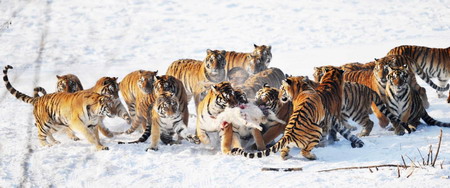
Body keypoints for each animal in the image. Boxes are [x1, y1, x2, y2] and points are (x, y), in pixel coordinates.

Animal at [232, 67, 366, 160]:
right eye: (259, 95)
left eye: (265, 99)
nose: (256, 102)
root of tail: (290, 135)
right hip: (317, 131)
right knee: (304, 151)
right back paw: (313, 155)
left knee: (285, 150)